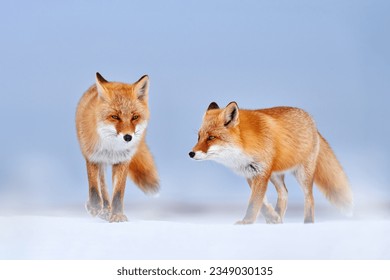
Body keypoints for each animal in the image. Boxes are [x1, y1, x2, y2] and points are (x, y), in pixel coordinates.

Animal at [76, 73, 158, 222]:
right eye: (114, 116)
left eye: (135, 117)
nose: (128, 137)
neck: (112, 148)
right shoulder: (92, 157)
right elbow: (94, 187)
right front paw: (94, 207)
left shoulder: (123, 161)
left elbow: (118, 193)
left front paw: (117, 215)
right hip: (99, 162)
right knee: (102, 185)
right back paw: (103, 208)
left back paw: (107, 210)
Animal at [189, 101, 354, 224]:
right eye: (199, 137)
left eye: (211, 137)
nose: (191, 153)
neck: (245, 144)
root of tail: (312, 121)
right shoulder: (250, 173)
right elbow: (261, 203)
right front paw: (272, 217)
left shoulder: (261, 172)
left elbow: (254, 203)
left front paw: (247, 222)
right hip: (275, 175)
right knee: (284, 193)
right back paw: (278, 217)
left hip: (302, 174)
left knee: (309, 198)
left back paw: (308, 223)